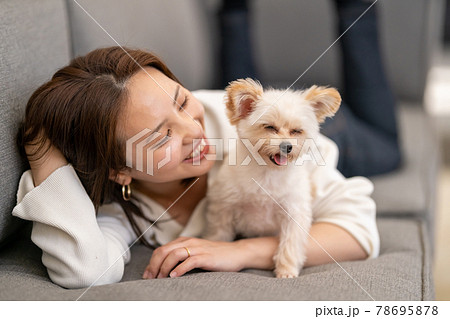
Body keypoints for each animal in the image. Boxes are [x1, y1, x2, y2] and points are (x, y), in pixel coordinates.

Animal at [202, 79, 340, 278]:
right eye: (269, 127)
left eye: (296, 131)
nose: (287, 146)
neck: (268, 173)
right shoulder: (223, 208)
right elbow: (218, 234)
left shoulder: (294, 214)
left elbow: (290, 244)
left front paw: (286, 270)